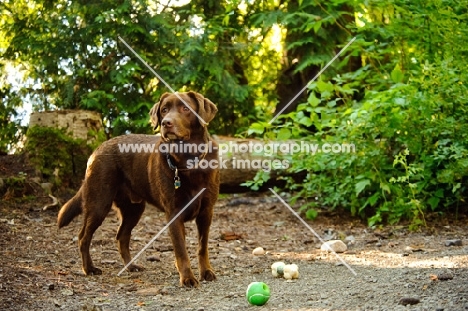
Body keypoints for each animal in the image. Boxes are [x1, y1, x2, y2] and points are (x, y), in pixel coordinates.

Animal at [57, 91, 219, 288]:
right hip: (99, 204)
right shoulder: (173, 213)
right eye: (164, 110)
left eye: (185, 108)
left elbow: (202, 247)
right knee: (83, 237)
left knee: (122, 237)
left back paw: (131, 266)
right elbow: (181, 249)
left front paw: (206, 272)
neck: (187, 161)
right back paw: (89, 269)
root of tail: (97, 149)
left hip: (134, 209)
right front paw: (187, 277)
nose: (166, 123)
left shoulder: (206, 211)